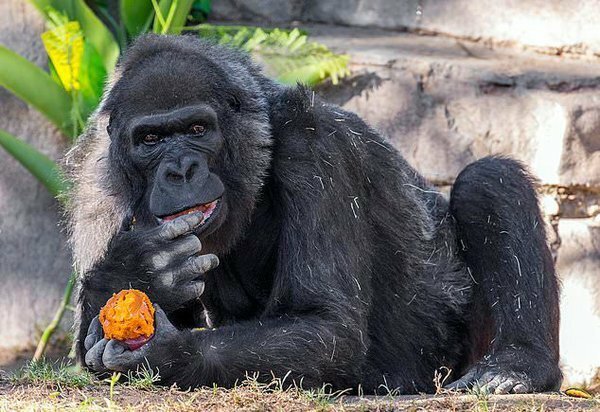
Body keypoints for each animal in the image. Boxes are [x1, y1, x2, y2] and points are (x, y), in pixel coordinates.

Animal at [65, 33, 564, 394]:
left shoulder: (317, 142)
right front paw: (140, 270)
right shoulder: (96, 183)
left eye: (197, 129)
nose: (181, 169)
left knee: (488, 182)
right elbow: (87, 346)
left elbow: (326, 326)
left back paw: (518, 366)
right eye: (150, 139)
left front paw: (171, 353)